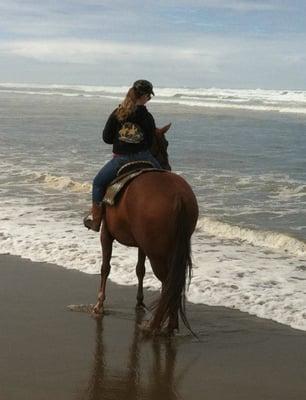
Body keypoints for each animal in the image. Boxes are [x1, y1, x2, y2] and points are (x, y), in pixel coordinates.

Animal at [93, 126, 198, 332]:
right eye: (165, 143)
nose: (167, 167)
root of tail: (179, 197)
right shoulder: (141, 244)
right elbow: (139, 269)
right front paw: (139, 302)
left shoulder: (106, 233)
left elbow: (105, 267)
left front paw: (99, 304)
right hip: (171, 247)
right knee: (174, 281)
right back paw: (169, 324)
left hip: (156, 252)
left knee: (167, 282)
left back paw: (157, 325)